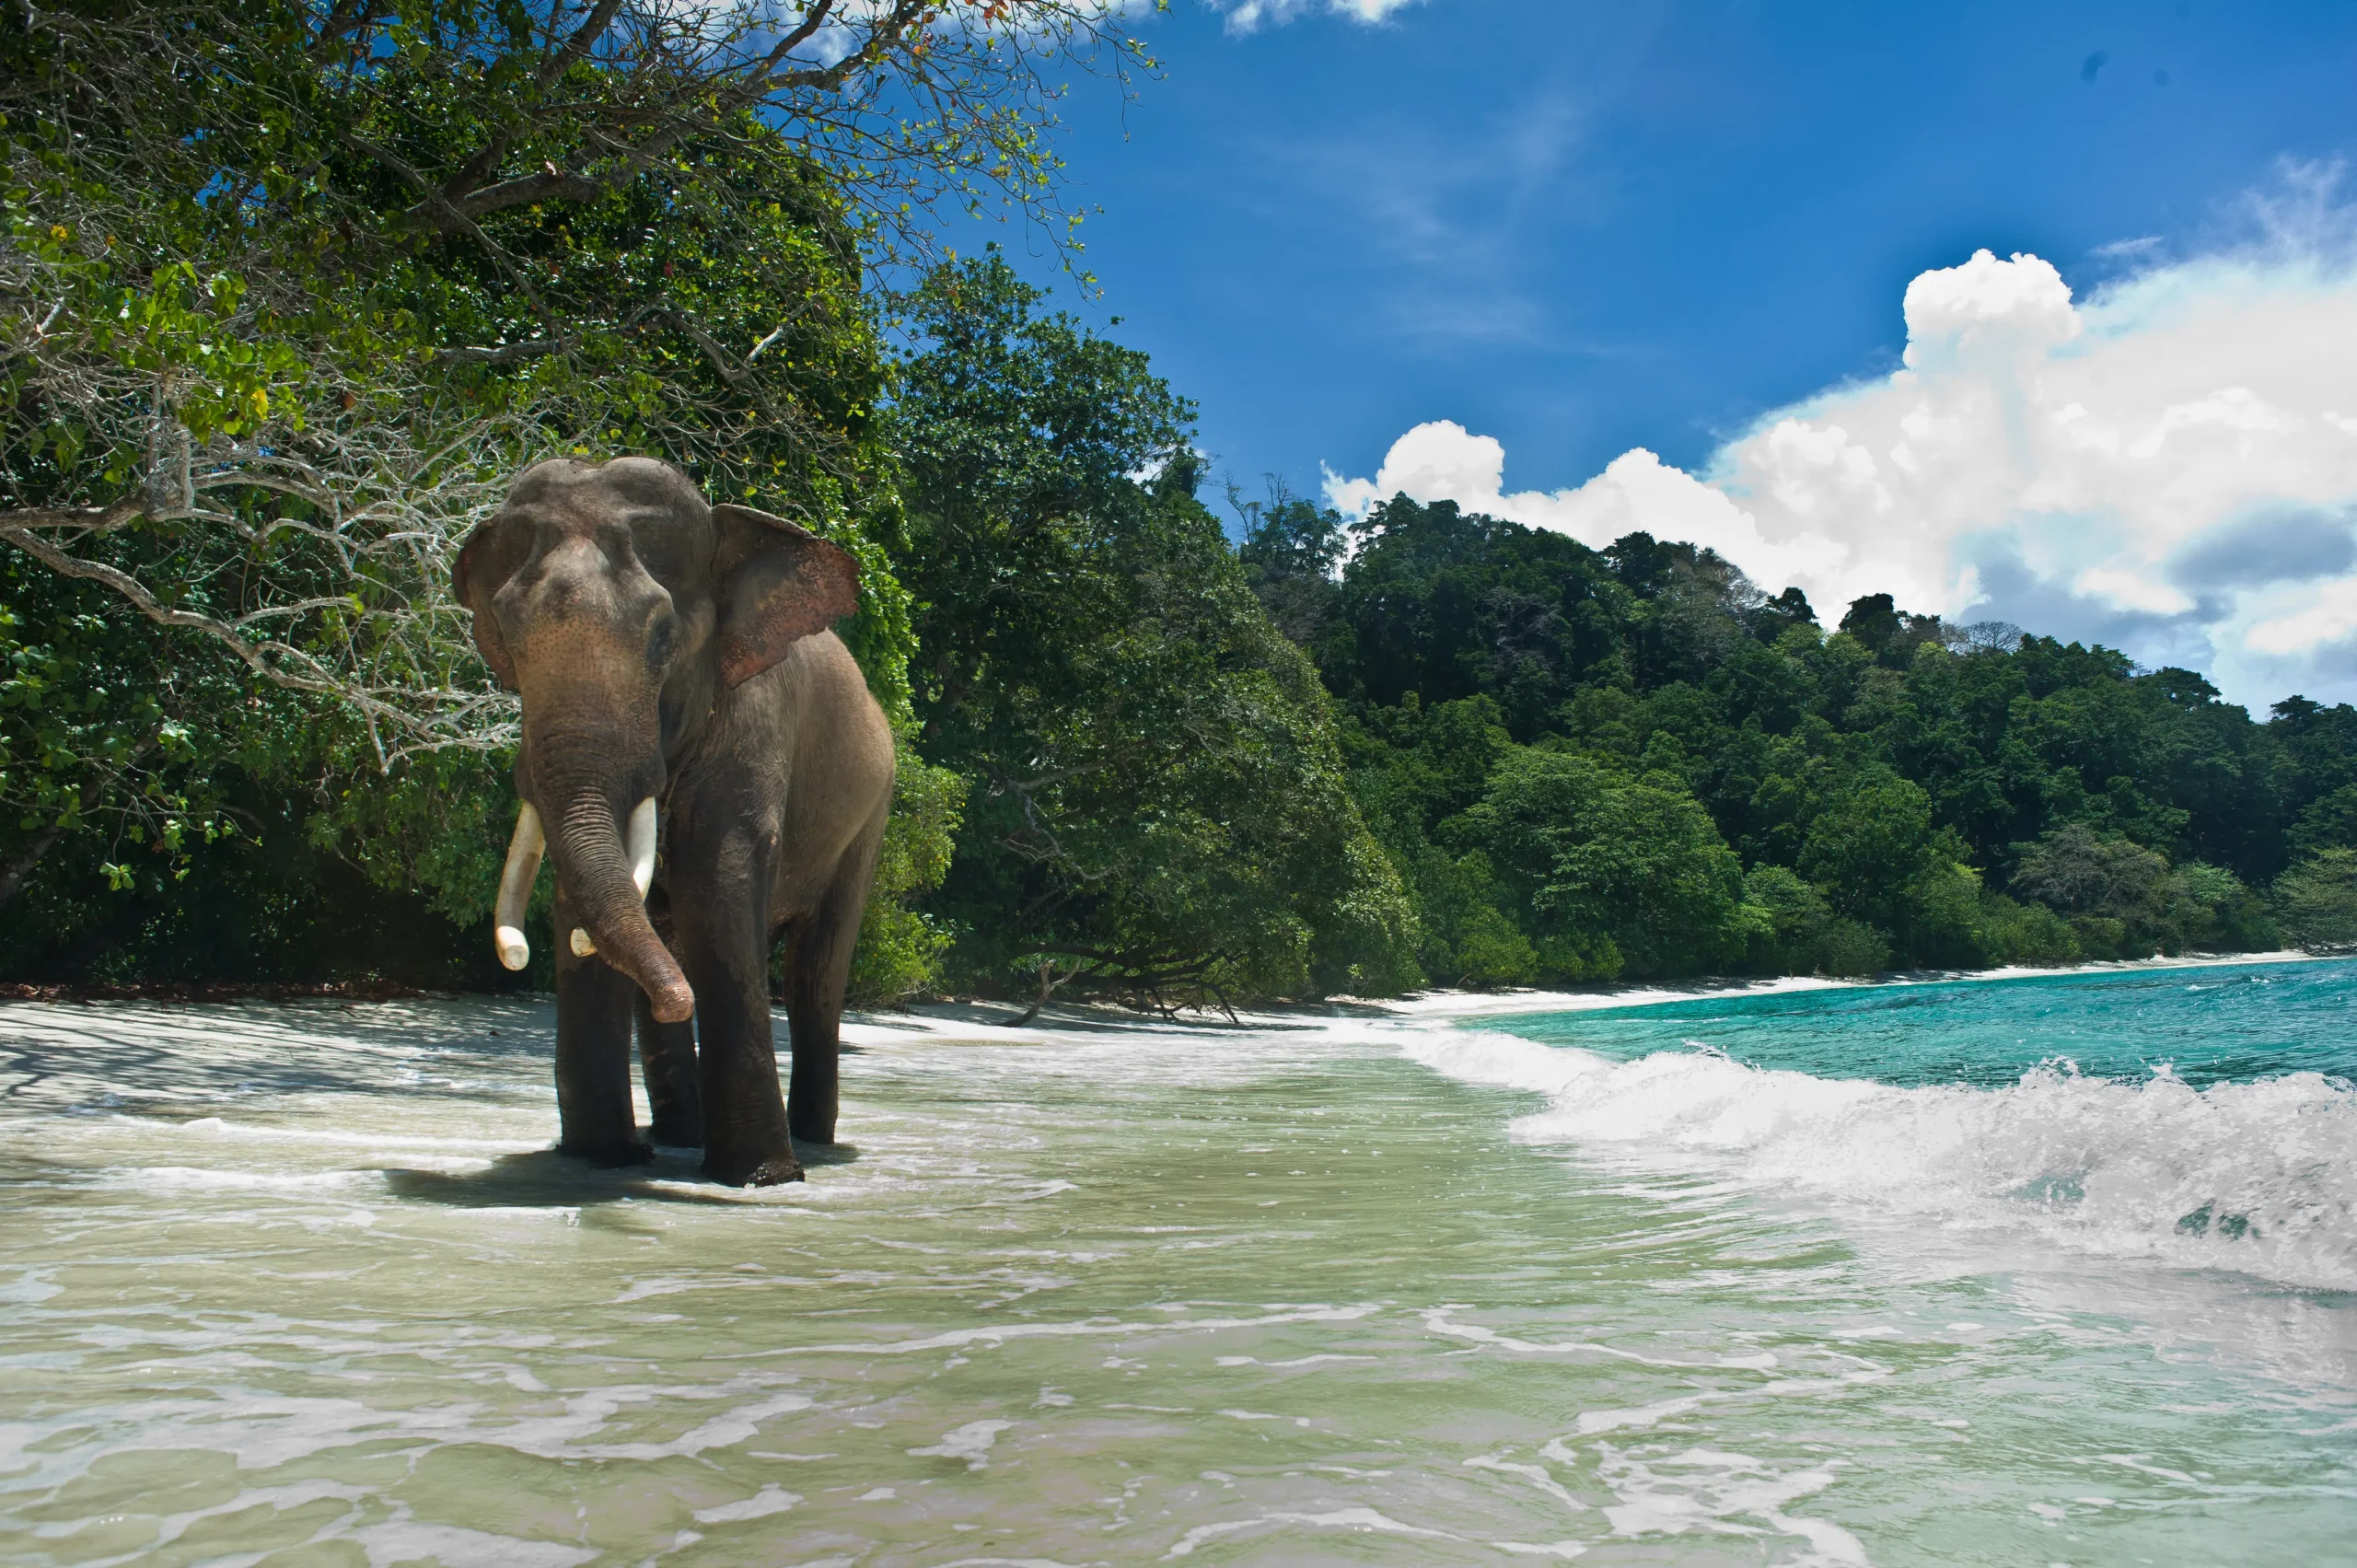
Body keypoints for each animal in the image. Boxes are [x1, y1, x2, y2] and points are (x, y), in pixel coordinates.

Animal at [454, 456, 895, 1186]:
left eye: (663, 638)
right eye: (507, 636)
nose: (515, 956)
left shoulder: (753, 722)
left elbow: (722, 883)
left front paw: (763, 1177)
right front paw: (601, 1158)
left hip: (870, 816)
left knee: (816, 975)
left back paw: (812, 1141)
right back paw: (678, 1136)